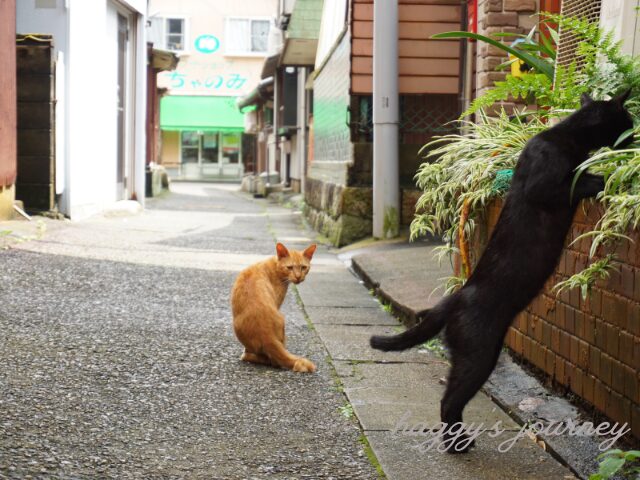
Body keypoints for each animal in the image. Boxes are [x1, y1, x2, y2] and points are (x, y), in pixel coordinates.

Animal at [232, 242, 318, 374]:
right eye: (290, 267)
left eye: (303, 267)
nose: (298, 277)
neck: (275, 265)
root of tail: (266, 335)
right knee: (273, 361)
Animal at [372, 91, 632, 454]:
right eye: (628, 121)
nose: (634, 136)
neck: (566, 136)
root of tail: (453, 299)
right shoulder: (544, 185)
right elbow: (577, 180)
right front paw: (603, 178)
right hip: (478, 357)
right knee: (448, 401)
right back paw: (457, 445)